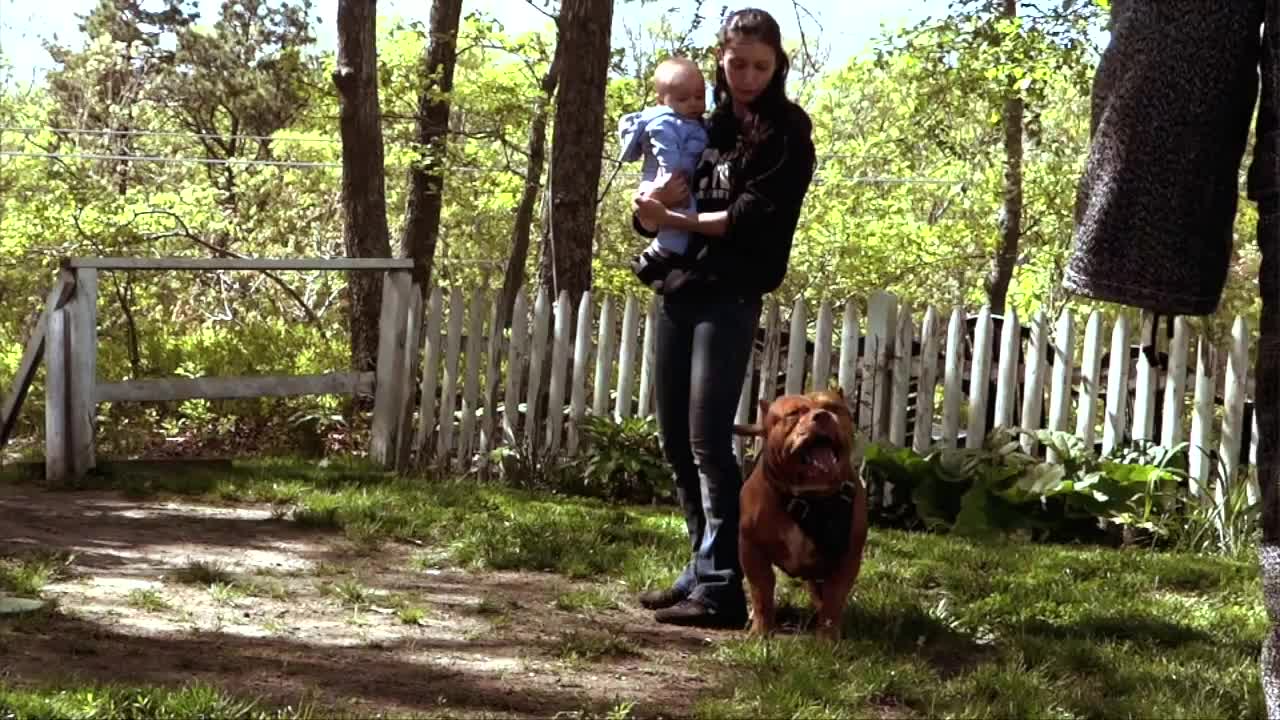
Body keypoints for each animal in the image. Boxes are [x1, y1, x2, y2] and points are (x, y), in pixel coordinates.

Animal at [737, 386, 865, 638]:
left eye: (833, 408)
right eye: (794, 413)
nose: (823, 416)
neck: (807, 496)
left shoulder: (846, 557)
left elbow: (834, 598)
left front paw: (828, 637)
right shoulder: (751, 549)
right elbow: (761, 590)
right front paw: (761, 630)